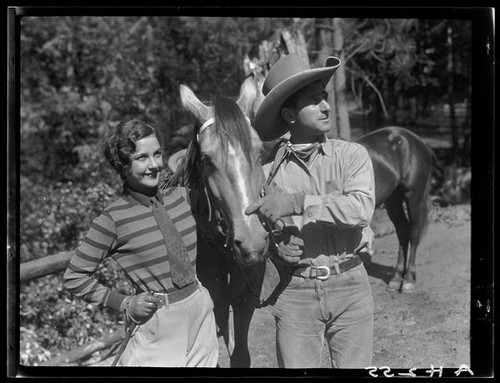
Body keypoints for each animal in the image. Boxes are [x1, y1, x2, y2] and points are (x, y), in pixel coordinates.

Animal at [166, 76, 270, 368]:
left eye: (259, 152)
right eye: (207, 160)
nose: (252, 244)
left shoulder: (245, 299)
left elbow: (241, 355)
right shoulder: (213, 302)